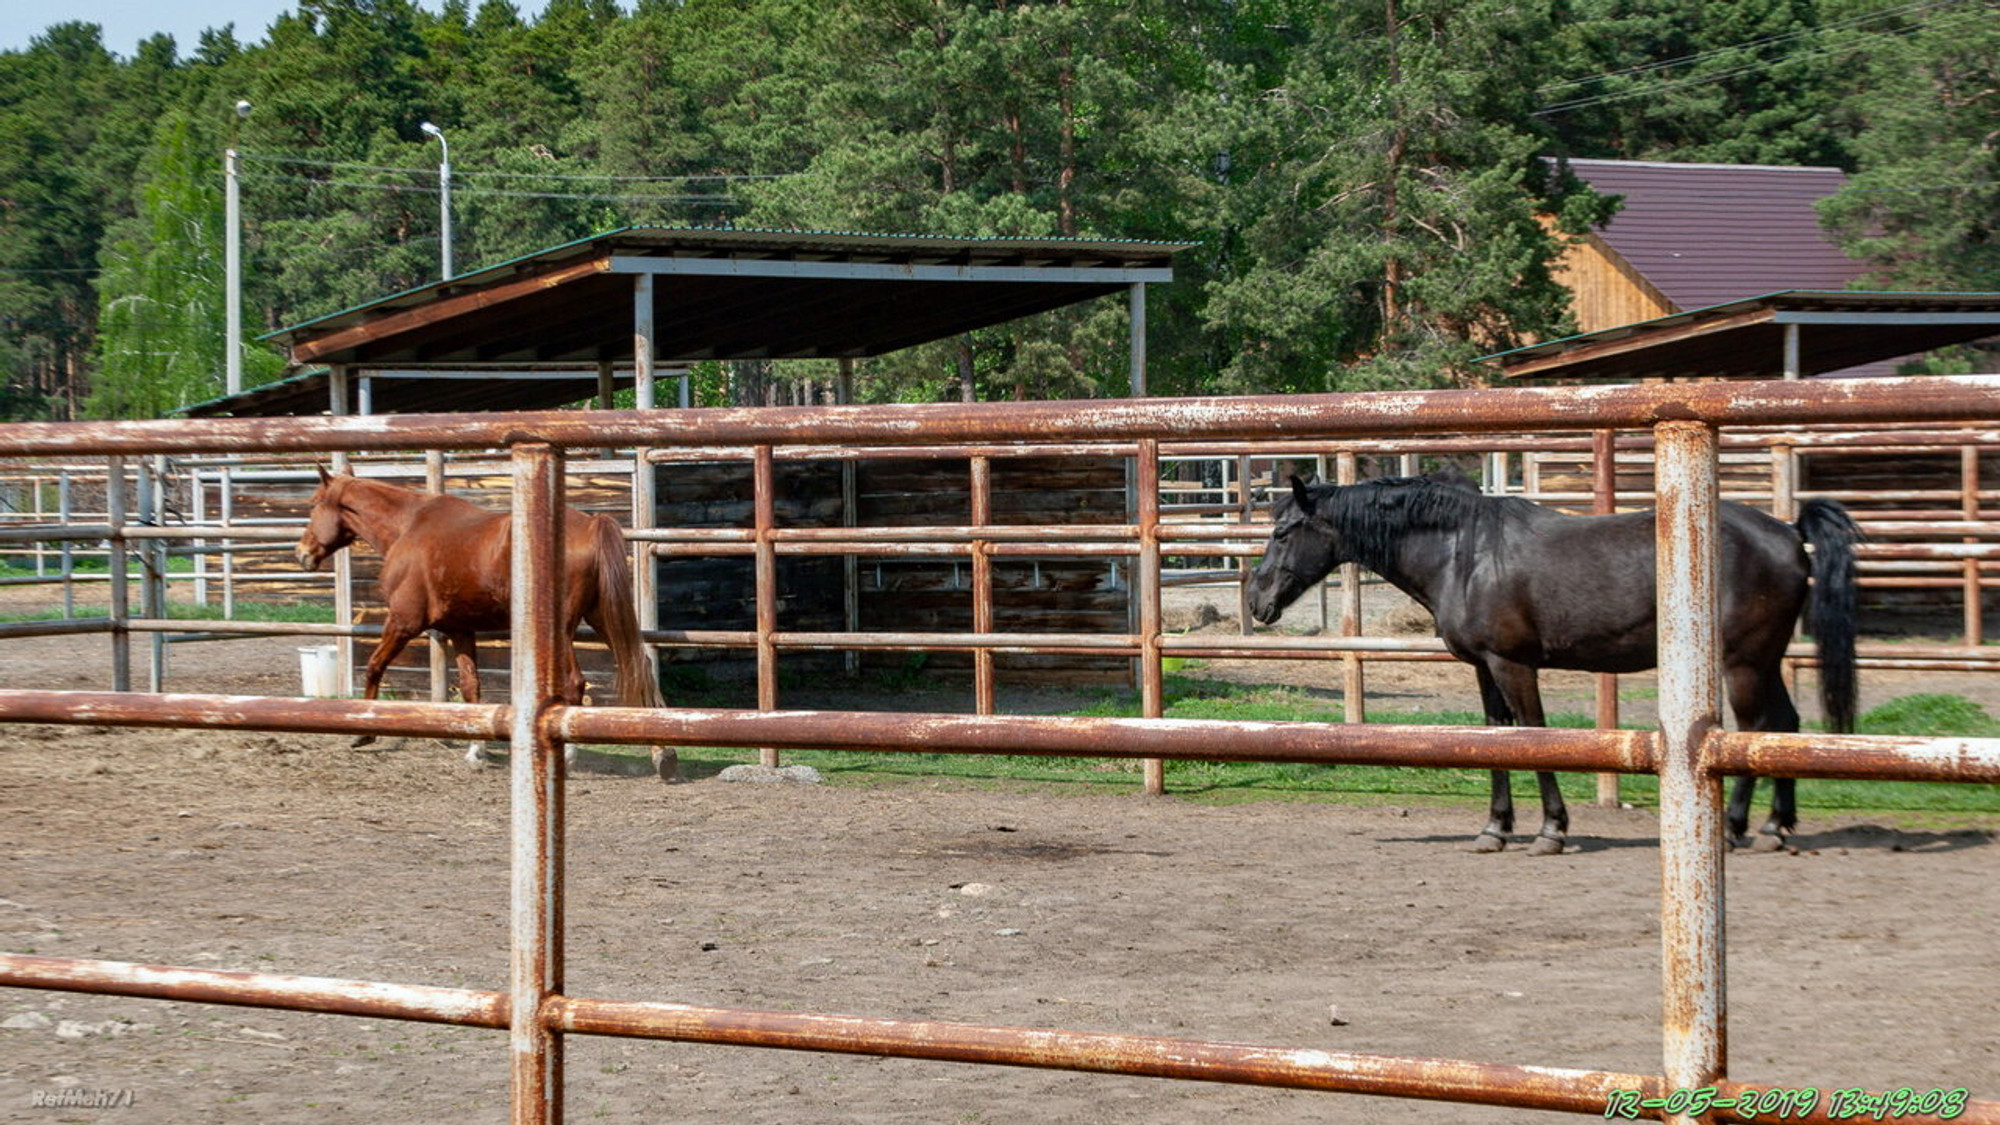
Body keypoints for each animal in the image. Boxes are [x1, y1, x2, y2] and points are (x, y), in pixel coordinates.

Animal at [292, 468, 676, 776]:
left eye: (313, 504)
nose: (302, 553)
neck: (409, 527)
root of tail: (592, 523)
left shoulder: (403, 622)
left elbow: (374, 666)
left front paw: (364, 730)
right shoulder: (460, 630)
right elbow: (470, 686)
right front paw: (476, 749)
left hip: (565, 629)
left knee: (575, 683)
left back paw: (569, 755)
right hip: (602, 618)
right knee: (639, 667)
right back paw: (663, 755)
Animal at [1248, 470, 1856, 848]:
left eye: (1282, 532)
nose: (1256, 600)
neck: (1463, 553)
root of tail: (1787, 532)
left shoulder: (1513, 664)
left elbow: (1533, 734)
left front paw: (1551, 829)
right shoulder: (1484, 667)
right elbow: (1494, 737)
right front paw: (1496, 828)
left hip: (1743, 663)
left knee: (1752, 729)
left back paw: (1735, 825)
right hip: (1765, 660)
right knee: (1785, 726)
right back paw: (1776, 827)